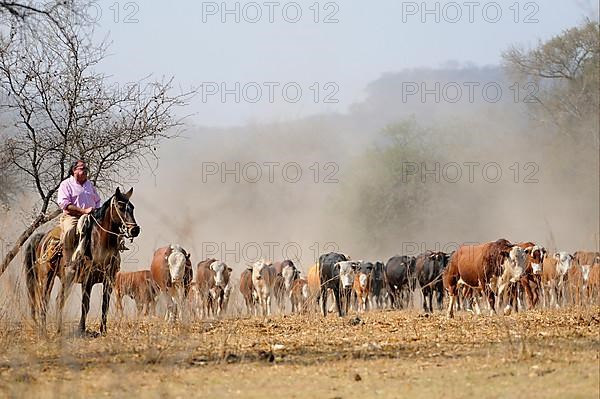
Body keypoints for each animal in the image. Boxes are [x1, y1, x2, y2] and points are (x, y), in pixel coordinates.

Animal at [24, 188, 141, 338]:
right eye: (120, 207)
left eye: (132, 208)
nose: (135, 230)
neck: (100, 245)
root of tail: (43, 238)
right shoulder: (87, 280)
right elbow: (85, 305)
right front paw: (81, 329)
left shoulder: (108, 281)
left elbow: (105, 305)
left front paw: (103, 331)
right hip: (48, 278)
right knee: (47, 301)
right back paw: (47, 332)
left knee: (56, 300)